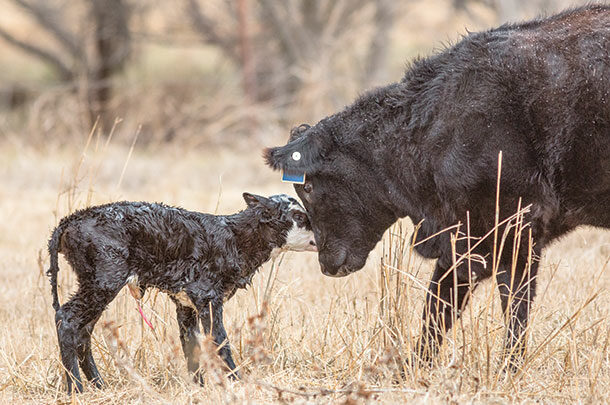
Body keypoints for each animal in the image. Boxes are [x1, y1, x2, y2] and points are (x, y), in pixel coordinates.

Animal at [47, 193, 314, 392]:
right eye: (298, 216)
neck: (235, 238)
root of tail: (69, 221)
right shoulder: (208, 297)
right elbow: (219, 340)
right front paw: (238, 383)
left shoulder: (186, 304)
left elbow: (191, 345)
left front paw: (198, 388)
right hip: (103, 282)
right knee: (66, 319)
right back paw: (76, 389)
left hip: (96, 286)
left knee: (84, 332)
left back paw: (99, 385)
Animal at [264, 4, 608, 366]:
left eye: (309, 187)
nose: (327, 265)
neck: (431, 127)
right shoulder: (459, 241)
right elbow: (437, 309)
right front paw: (415, 366)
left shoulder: (510, 234)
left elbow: (514, 308)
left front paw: (509, 367)